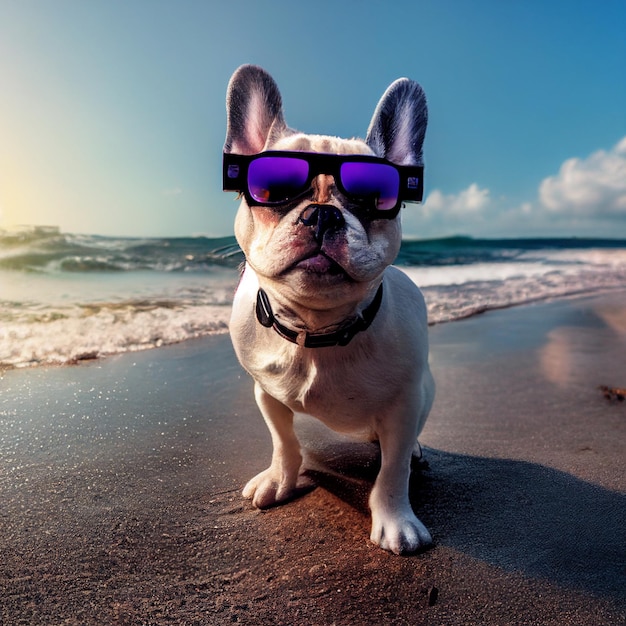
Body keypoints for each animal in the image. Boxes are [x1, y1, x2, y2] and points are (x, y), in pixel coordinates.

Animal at [223, 63, 434, 552]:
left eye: (373, 198)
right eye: (274, 189)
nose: (322, 213)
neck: (318, 327)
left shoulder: (403, 403)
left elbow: (393, 470)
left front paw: (395, 519)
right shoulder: (265, 392)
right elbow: (284, 441)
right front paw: (280, 479)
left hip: (425, 392)